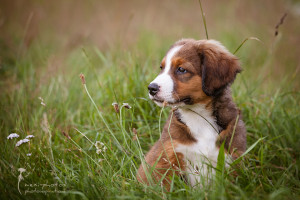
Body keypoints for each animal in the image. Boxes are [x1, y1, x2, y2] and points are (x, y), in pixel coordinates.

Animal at [137, 38, 247, 189]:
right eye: (161, 68)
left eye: (181, 69)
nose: (151, 88)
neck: (197, 116)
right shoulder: (166, 154)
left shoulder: (232, 157)